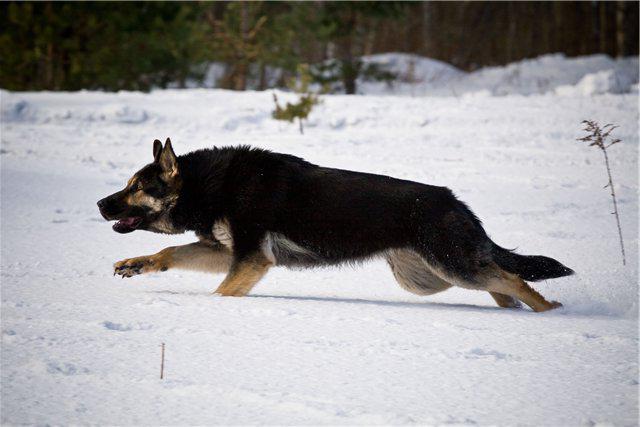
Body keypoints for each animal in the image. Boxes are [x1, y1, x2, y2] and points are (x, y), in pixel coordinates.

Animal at [97, 139, 572, 312]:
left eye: (136, 186)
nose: (100, 203)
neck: (209, 185)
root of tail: (455, 201)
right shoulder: (228, 253)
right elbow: (169, 252)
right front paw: (137, 263)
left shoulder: (250, 259)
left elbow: (222, 293)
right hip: (429, 278)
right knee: (501, 281)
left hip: (450, 267)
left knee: (512, 278)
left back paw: (553, 314)